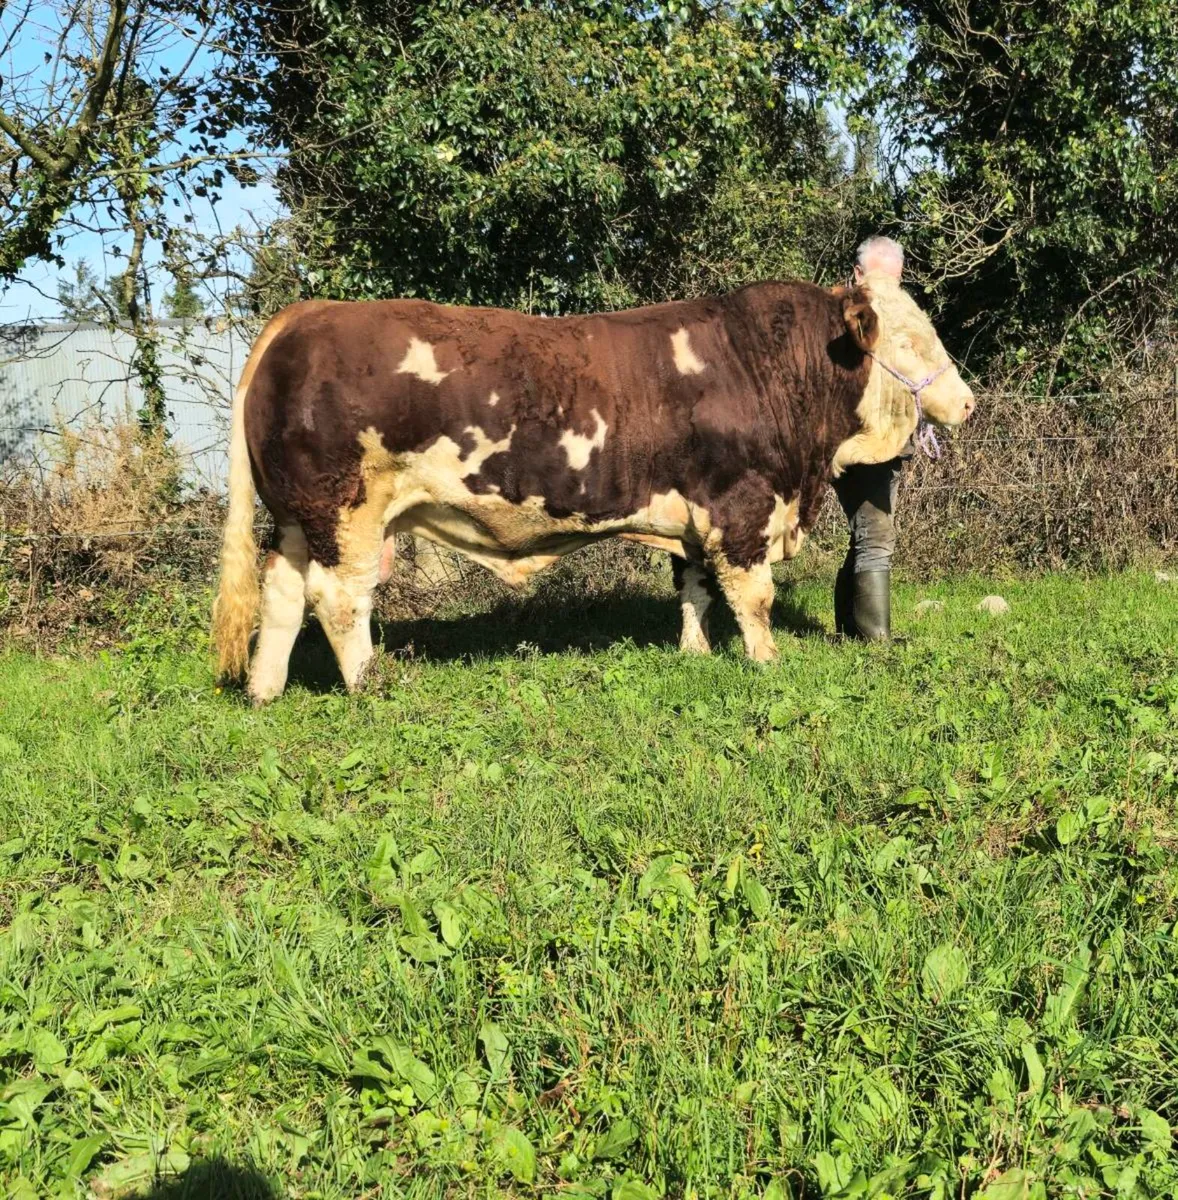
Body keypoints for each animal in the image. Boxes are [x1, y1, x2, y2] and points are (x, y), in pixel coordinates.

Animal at [212, 273, 975, 703]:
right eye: (910, 341)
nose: (967, 402)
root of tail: (305, 314)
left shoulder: (694, 511)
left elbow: (694, 588)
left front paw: (695, 652)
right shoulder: (742, 504)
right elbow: (752, 596)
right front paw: (767, 661)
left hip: (297, 517)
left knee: (282, 592)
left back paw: (264, 692)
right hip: (344, 511)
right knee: (340, 598)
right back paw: (371, 686)